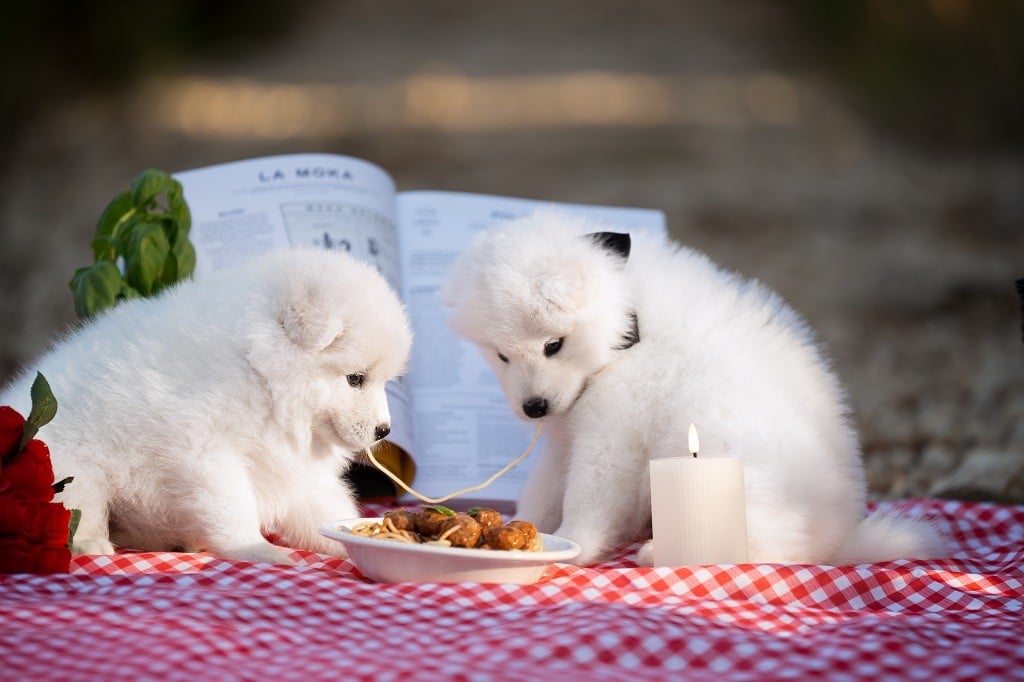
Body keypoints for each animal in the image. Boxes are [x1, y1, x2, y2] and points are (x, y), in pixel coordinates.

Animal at [4, 246, 411, 561]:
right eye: (355, 378)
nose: (384, 431)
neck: (259, 371)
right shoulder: (206, 452)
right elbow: (234, 508)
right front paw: (260, 551)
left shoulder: (294, 469)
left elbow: (326, 510)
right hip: (70, 461)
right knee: (79, 509)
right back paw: (92, 545)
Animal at [440, 209, 942, 565]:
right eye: (501, 356)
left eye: (553, 345)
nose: (534, 407)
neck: (625, 332)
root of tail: (840, 538)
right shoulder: (567, 436)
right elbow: (544, 487)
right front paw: (526, 526)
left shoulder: (612, 436)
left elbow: (588, 496)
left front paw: (573, 544)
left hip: (731, 461)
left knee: (769, 546)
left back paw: (657, 553)